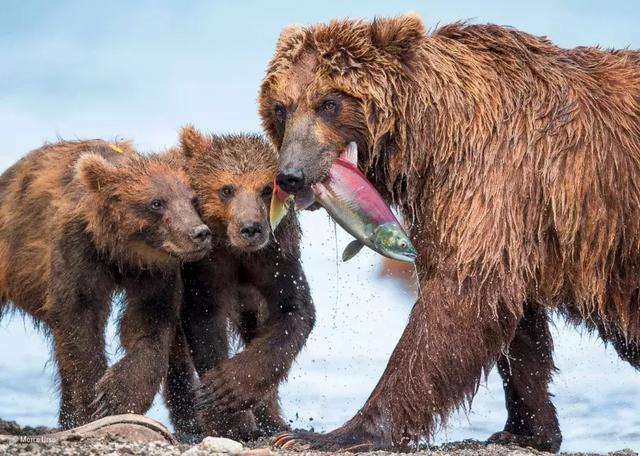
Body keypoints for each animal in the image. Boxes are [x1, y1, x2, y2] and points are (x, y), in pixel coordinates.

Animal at [258, 13, 640, 452]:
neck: (430, 138)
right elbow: (515, 323)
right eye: (281, 107)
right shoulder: (506, 213)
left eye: (329, 103)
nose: (291, 175)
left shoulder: (492, 173)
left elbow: (459, 299)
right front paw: (527, 428)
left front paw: (334, 433)